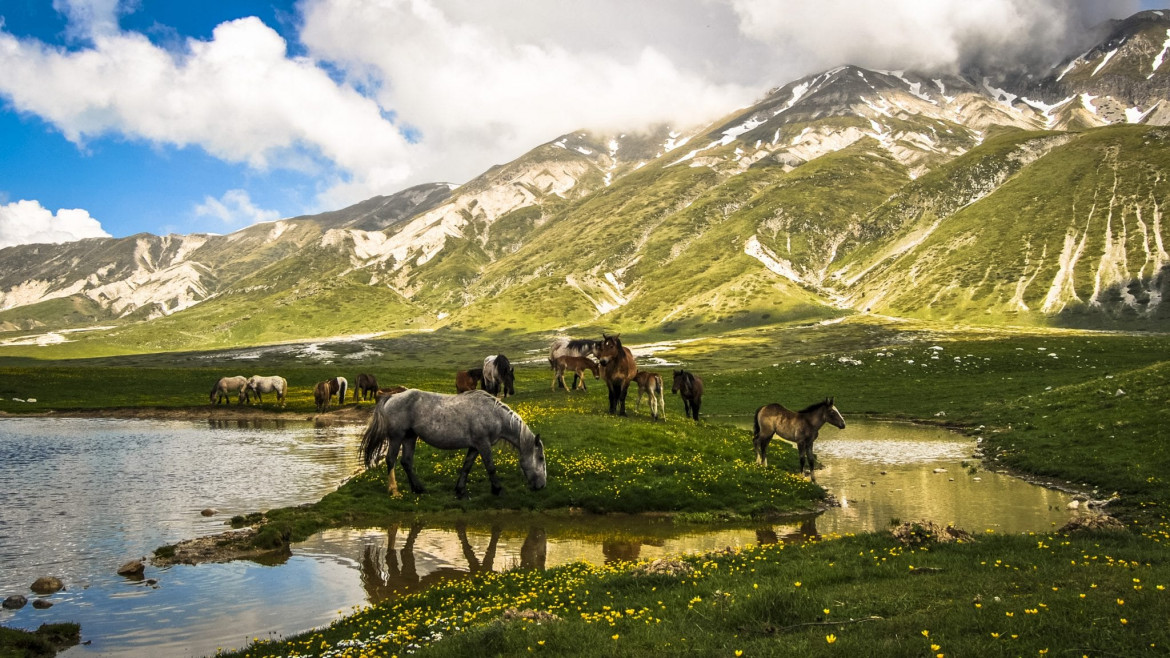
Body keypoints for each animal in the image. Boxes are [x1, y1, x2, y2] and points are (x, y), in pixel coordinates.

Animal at [358, 386, 545, 494]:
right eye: (541, 458)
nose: (542, 485)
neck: (493, 414)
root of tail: (391, 397)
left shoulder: (475, 446)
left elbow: (466, 466)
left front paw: (460, 490)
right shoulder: (483, 444)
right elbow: (490, 467)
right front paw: (497, 489)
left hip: (410, 437)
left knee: (406, 462)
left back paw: (418, 489)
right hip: (397, 437)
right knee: (391, 460)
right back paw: (394, 491)